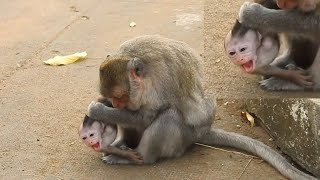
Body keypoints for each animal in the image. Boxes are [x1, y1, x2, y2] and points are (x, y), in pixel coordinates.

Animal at [86, 34, 316, 179]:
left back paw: (138, 158)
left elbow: (146, 116)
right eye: (112, 97)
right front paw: (103, 107)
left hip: (185, 137)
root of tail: (204, 130)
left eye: (120, 97)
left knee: (169, 115)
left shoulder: (160, 83)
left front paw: (98, 110)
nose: (115, 104)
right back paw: (122, 146)